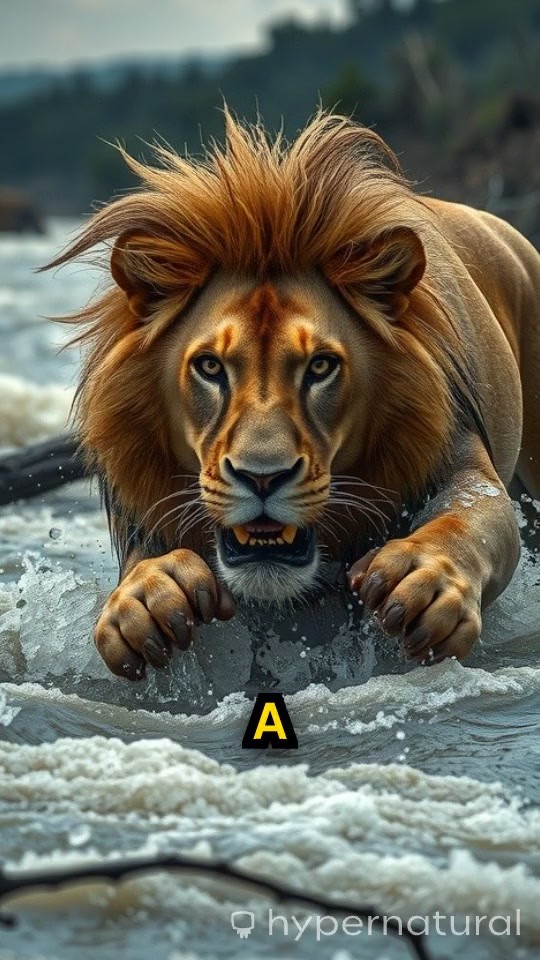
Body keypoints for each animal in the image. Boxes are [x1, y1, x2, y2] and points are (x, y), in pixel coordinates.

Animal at [45, 111, 540, 680]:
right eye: (210, 367)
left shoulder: (458, 460)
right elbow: (141, 566)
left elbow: (468, 519)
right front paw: (148, 600)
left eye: (320, 366)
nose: (263, 477)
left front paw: (423, 580)